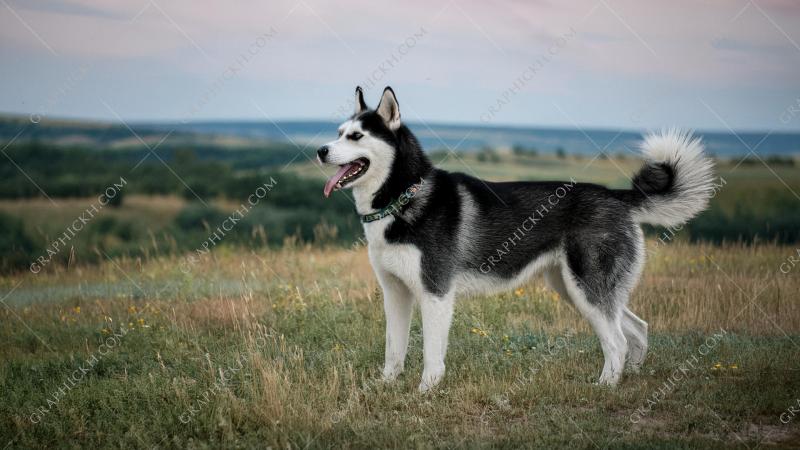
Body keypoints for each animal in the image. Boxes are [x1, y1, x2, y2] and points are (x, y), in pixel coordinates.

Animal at [318, 86, 712, 392]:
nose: (321, 150)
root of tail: (614, 195)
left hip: (586, 288)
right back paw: (630, 377)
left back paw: (605, 387)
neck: (403, 197)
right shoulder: (396, 293)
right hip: (575, 288)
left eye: (356, 137)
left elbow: (431, 354)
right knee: (636, 329)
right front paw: (385, 386)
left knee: (616, 341)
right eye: (338, 132)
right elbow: (393, 349)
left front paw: (425, 392)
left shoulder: (435, 293)